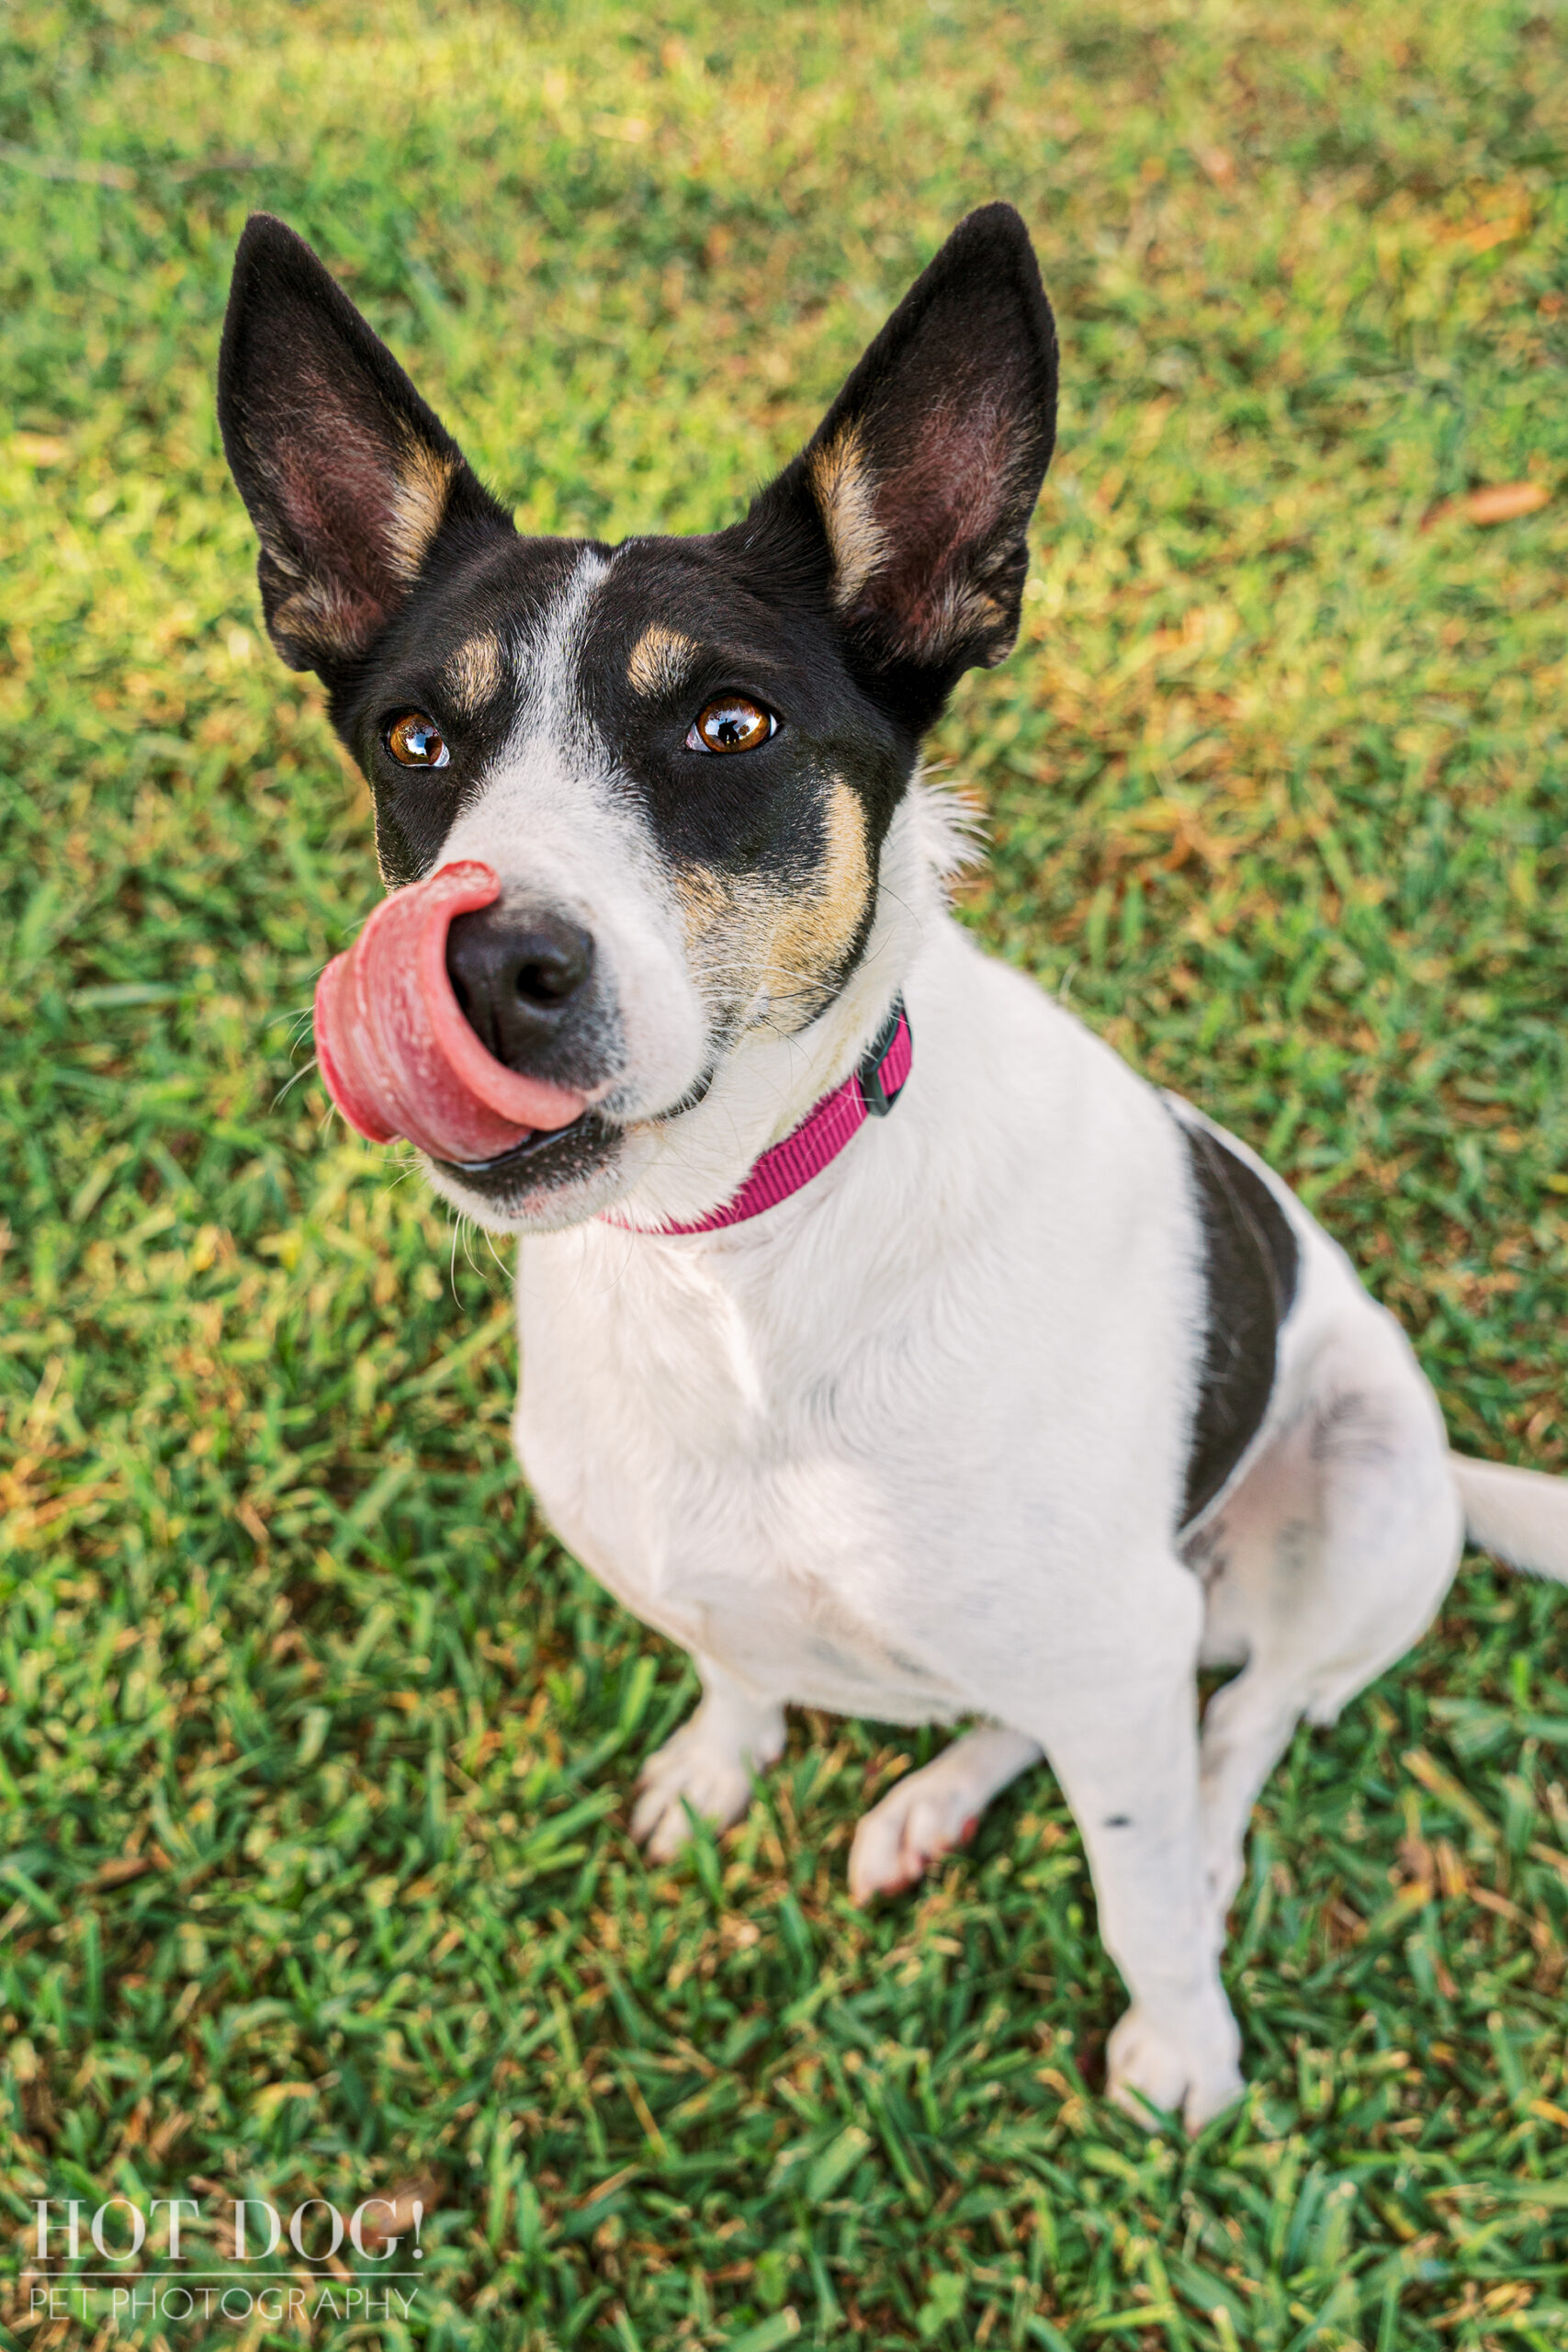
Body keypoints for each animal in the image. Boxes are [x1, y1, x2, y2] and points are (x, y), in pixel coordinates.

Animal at [217, 207, 1568, 2135]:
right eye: (417, 742)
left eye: (728, 728)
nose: (484, 963)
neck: (738, 1261)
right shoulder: (700, 1564)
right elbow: (734, 1669)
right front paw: (717, 1769)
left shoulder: (1116, 1644)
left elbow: (1142, 1881)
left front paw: (1183, 2049)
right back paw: (926, 1802)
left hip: (1362, 1503)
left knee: (1239, 1726)